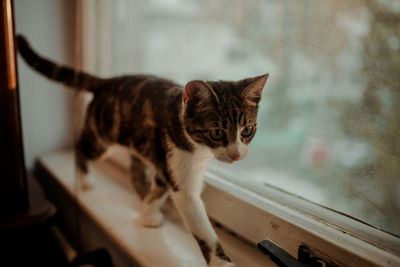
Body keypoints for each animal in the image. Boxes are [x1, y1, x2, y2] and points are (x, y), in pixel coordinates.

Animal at [18, 35, 268, 267]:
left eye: (247, 130)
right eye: (217, 133)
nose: (237, 154)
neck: (198, 147)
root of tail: (106, 82)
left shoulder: (167, 160)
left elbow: (160, 185)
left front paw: (148, 212)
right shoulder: (176, 161)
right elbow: (195, 214)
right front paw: (220, 261)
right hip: (101, 137)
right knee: (81, 146)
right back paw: (85, 180)